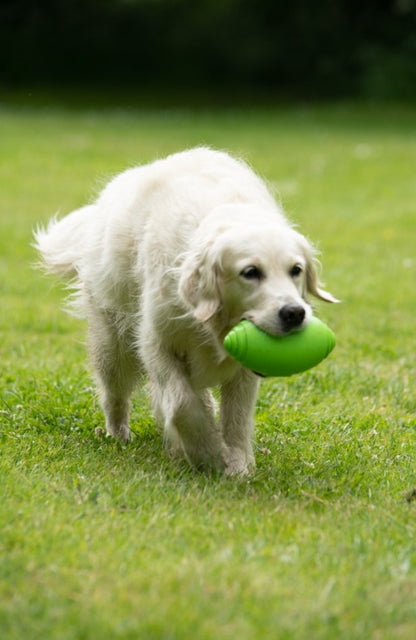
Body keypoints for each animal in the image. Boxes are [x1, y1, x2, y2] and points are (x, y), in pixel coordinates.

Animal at [34, 148, 336, 472]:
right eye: (250, 272)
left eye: (296, 270)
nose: (294, 313)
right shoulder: (157, 344)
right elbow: (181, 404)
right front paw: (206, 453)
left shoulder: (242, 369)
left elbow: (237, 416)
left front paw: (237, 463)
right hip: (112, 343)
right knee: (114, 393)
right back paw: (118, 434)